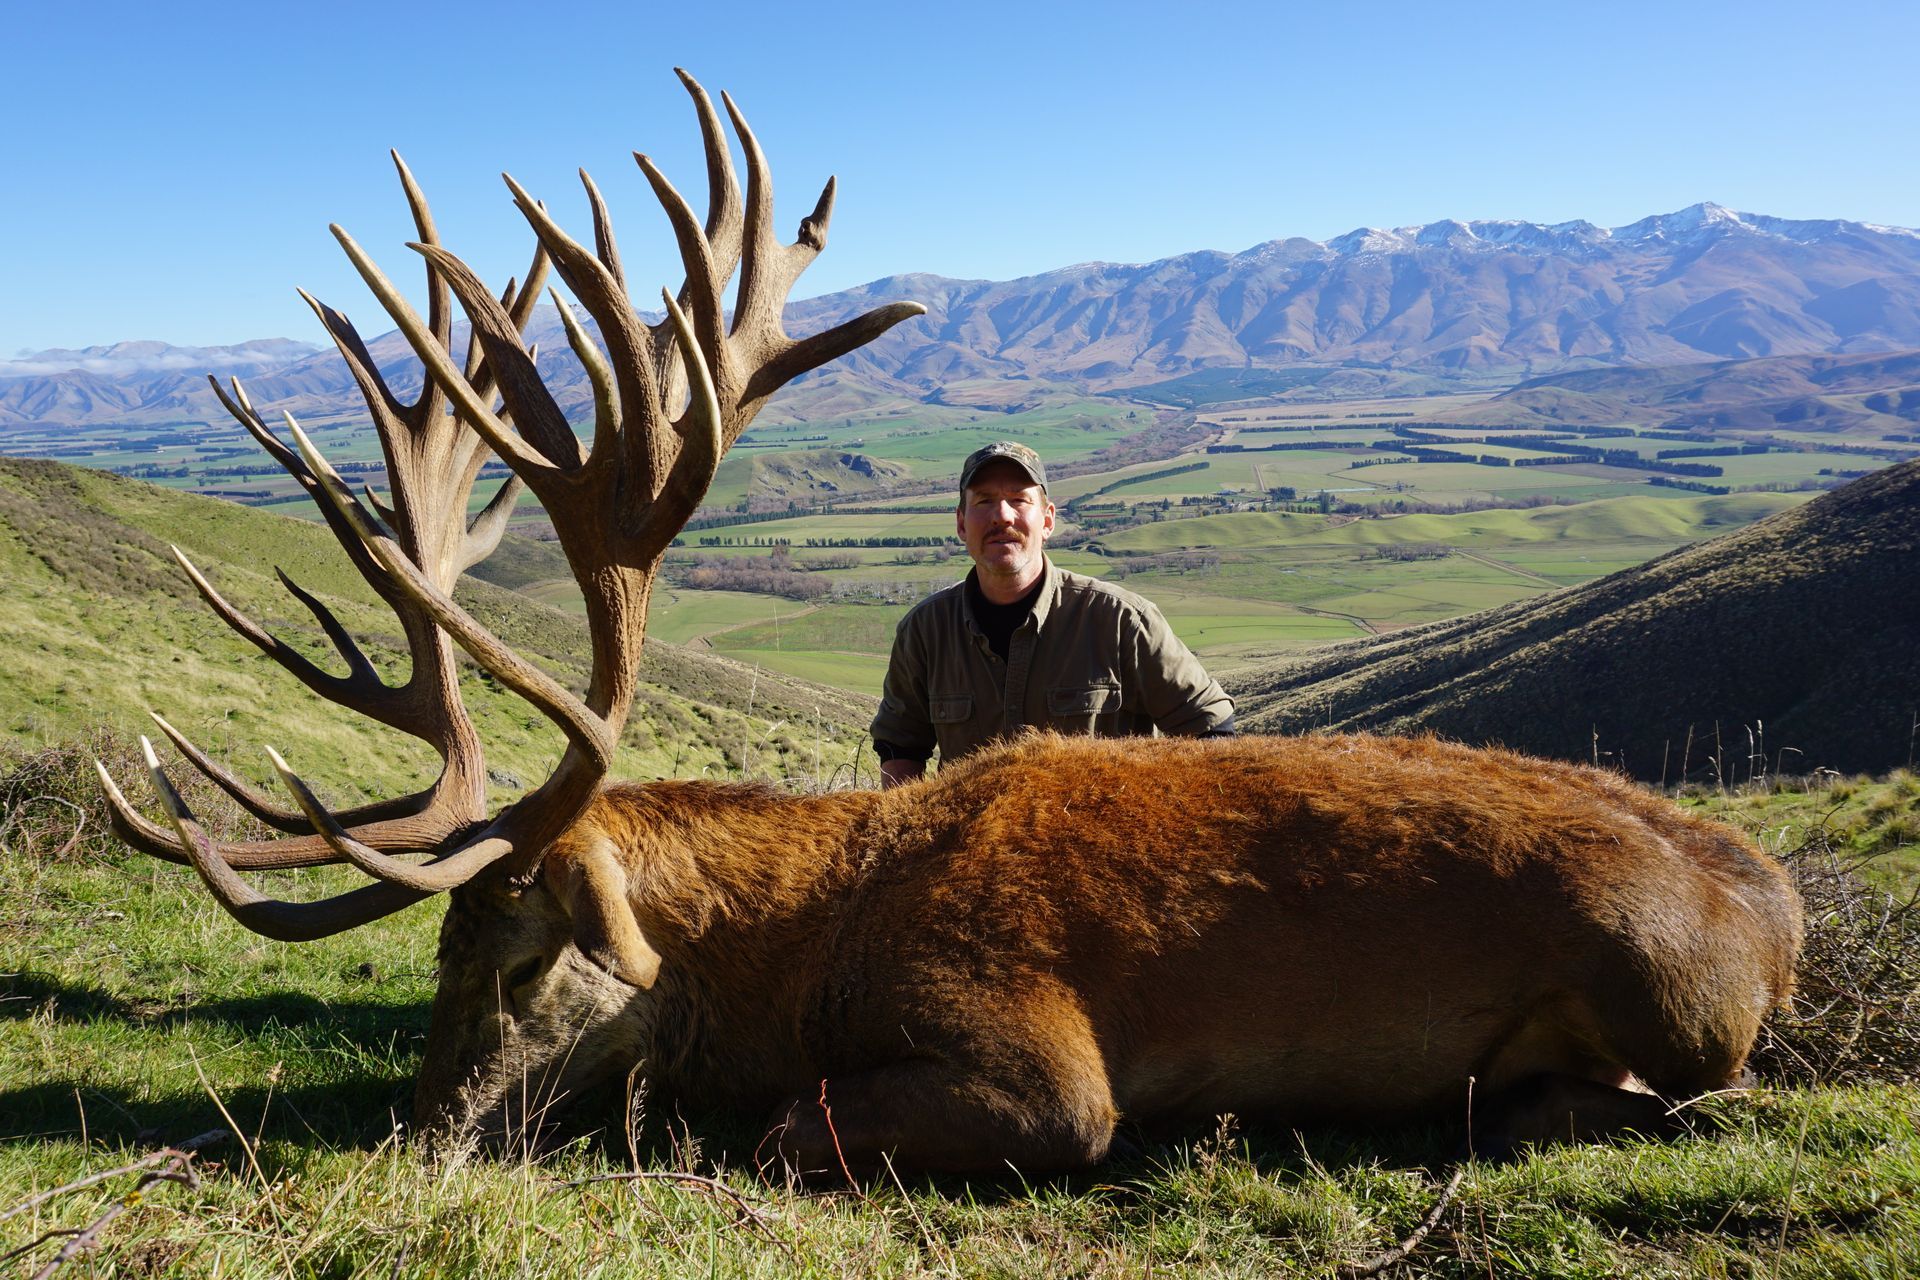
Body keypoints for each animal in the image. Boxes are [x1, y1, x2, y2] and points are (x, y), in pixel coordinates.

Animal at [97, 71, 1804, 1176]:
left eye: (522, 957)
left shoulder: (1035, 1055)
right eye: (439, 947)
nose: (420, 1130)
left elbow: (798, 1128)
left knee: (1692, 1099)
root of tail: (1778, 916)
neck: (804, 950)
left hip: (1666, 999)